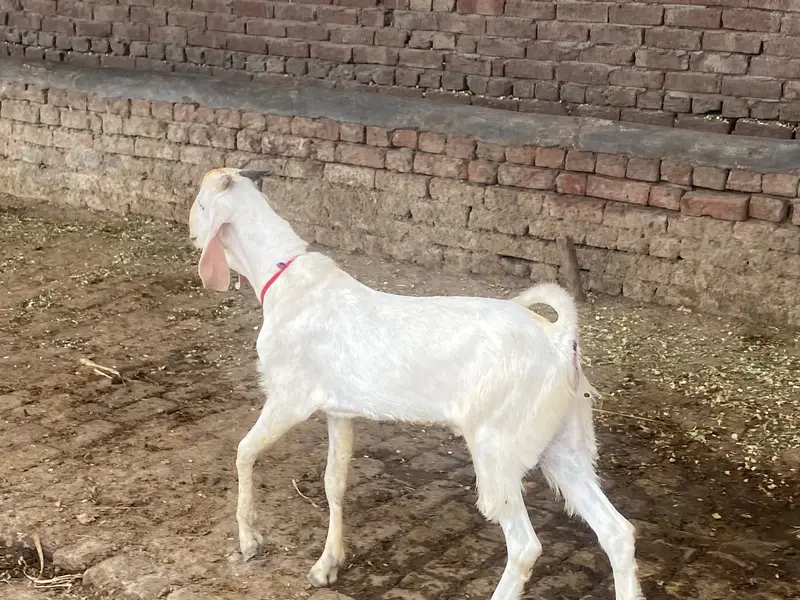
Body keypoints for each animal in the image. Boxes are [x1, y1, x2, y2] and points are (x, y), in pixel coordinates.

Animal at [188, 167, 644, 600]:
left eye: (200, 204)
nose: (192, 234)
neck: (282, 280)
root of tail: (558, 339)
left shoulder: (289, 397)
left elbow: (244, 452)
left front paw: (250, 540)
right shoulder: (339, 411)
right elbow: (334, 482)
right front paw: (327, 565)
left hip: (498, 443)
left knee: (525, 545)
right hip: (563, 441)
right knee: (617, 531)